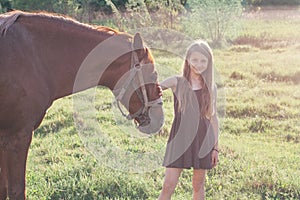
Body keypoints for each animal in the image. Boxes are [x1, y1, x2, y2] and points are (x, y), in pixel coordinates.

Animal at [0, 11, 164, 200]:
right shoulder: (18, 136)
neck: (34, 58)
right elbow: (16, 190)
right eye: (152, 74)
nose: (160, 119)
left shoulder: (4, 138)